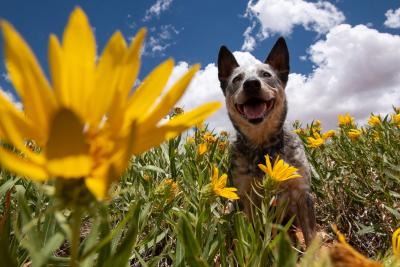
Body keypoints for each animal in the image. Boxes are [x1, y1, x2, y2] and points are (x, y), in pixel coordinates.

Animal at [219, 37, 316, 247]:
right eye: (237, 79)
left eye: (266, 74)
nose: (251, 84)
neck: (263, 145)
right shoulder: (246, 196)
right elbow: (251, 233)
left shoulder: (303, 194)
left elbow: (312, 238)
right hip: (230, 202)